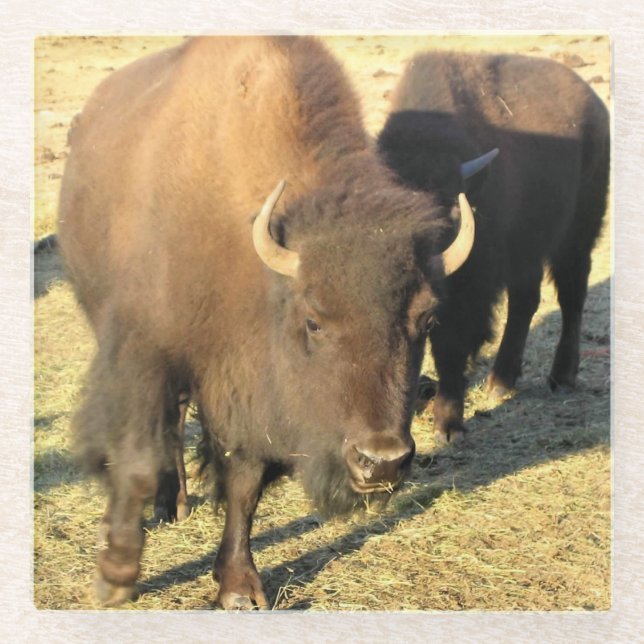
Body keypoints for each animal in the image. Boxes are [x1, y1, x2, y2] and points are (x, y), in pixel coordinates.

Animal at [58, 36, 476, 609]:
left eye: (427, 319)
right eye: (314, 320)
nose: (382, 461)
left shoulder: (244, 389)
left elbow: (245, 482)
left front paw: (238, 588)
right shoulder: (144, 354)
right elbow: (136, 459)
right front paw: (114, 577)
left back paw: (177, 504)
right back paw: (164, 509)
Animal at [377, 51, 610, 443]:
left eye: (450, 205)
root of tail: (595, 105)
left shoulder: (467, 293)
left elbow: (450, 347)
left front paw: (448, 427)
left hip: (576, 236)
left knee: (571, 297)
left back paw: (561, 377)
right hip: (527, 251)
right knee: (525, 302)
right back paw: (501, 380)